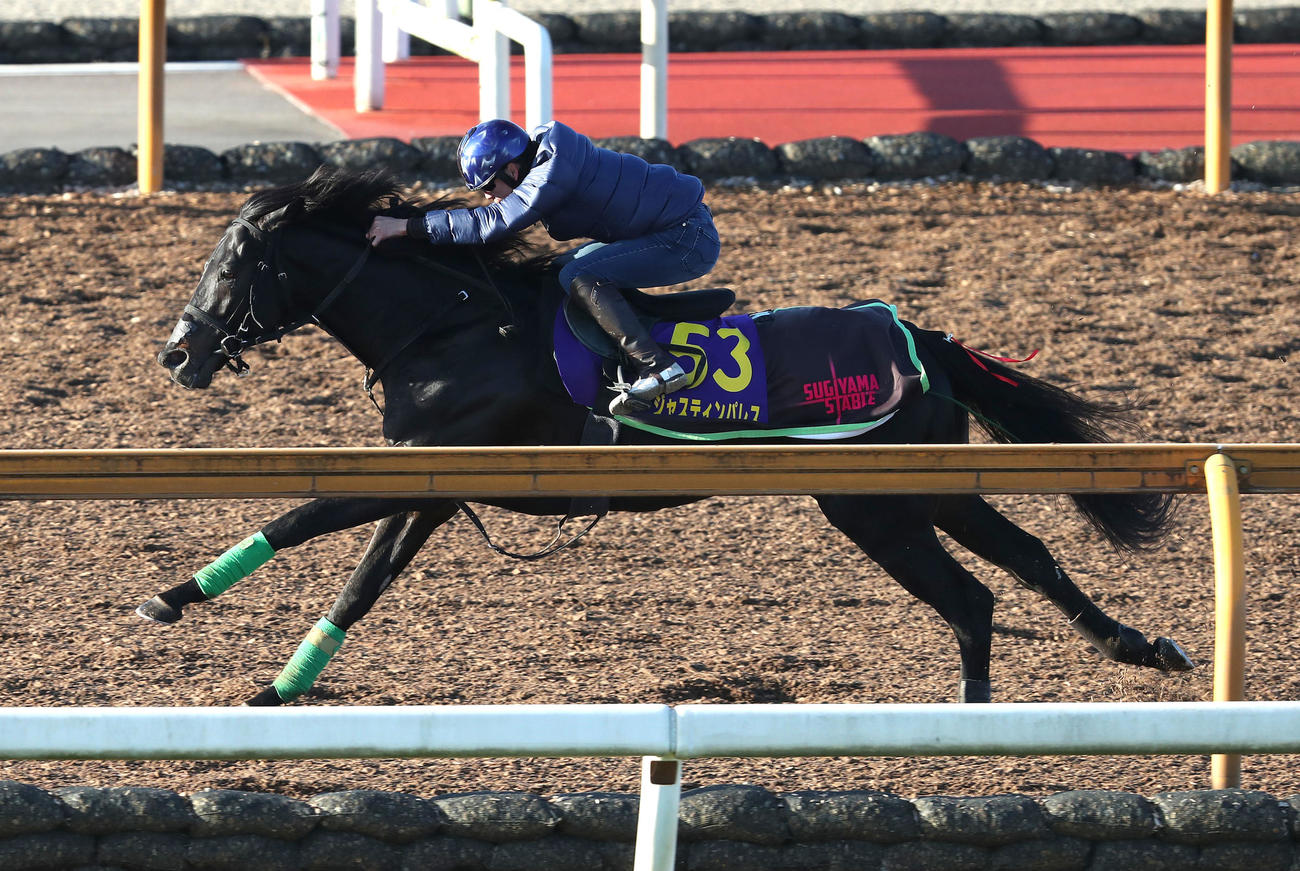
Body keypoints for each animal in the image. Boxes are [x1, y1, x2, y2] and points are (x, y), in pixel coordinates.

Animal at [148, 166, 1194, 707]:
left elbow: (305, 517)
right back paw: (1134, 649)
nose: (177, 352)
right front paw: (282, 685)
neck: (452, 326)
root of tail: (919, 337)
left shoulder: (424, 466)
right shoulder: (434, 485)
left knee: (979, 589)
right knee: (1018, 565)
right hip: (917, 489)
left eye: (235, 264)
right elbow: (360, 580)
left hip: (877, 502)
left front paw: (168, 598)